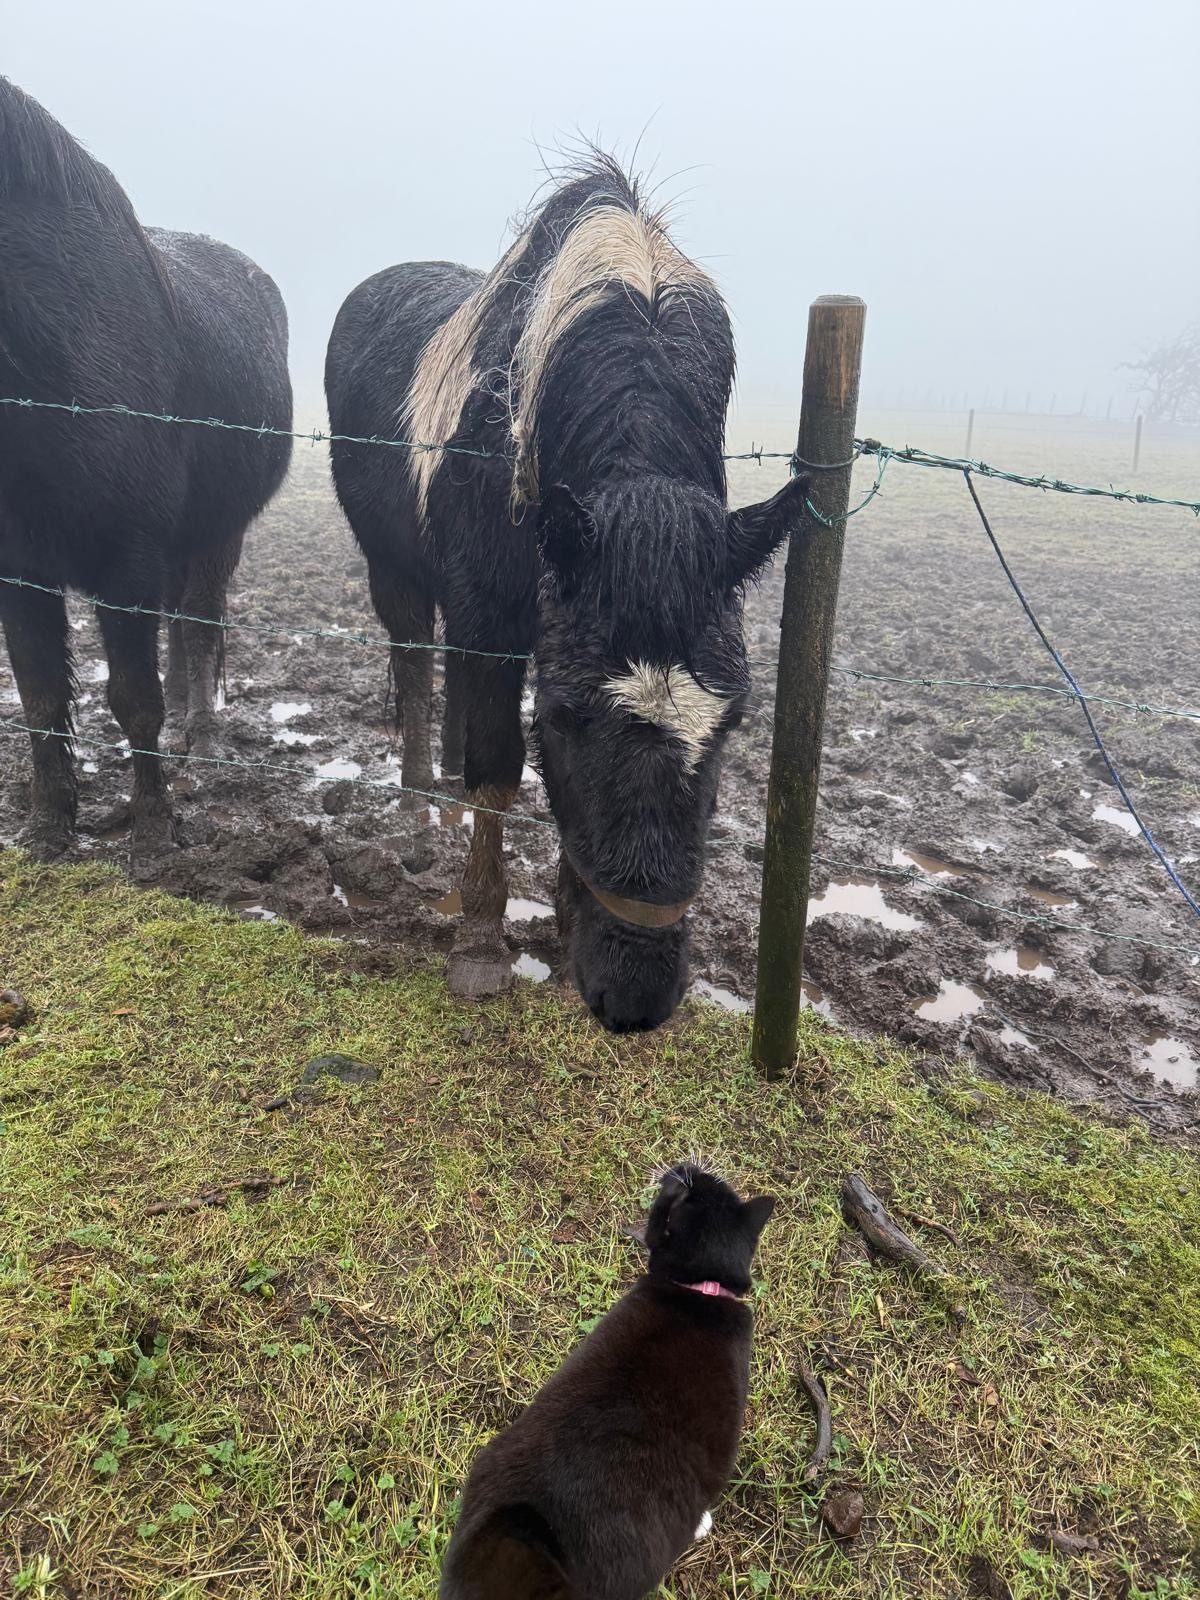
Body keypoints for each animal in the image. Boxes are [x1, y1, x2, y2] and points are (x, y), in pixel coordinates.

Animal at [0, 76, 292, 863]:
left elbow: (134, 699)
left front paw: (155, 831)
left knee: (198, 624)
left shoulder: (125, 558)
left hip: (217, 535)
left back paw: (204, 739)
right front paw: (48, 829)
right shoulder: (21, 568)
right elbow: (40, 697)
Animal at [326, 155, 807, 1032]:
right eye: (564, 715)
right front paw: (482, 944)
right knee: (414, 669)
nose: (635, 1000)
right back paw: (416, 807)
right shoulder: (489, 615)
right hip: (395, 573)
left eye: (733, 724)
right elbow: (497, 764)